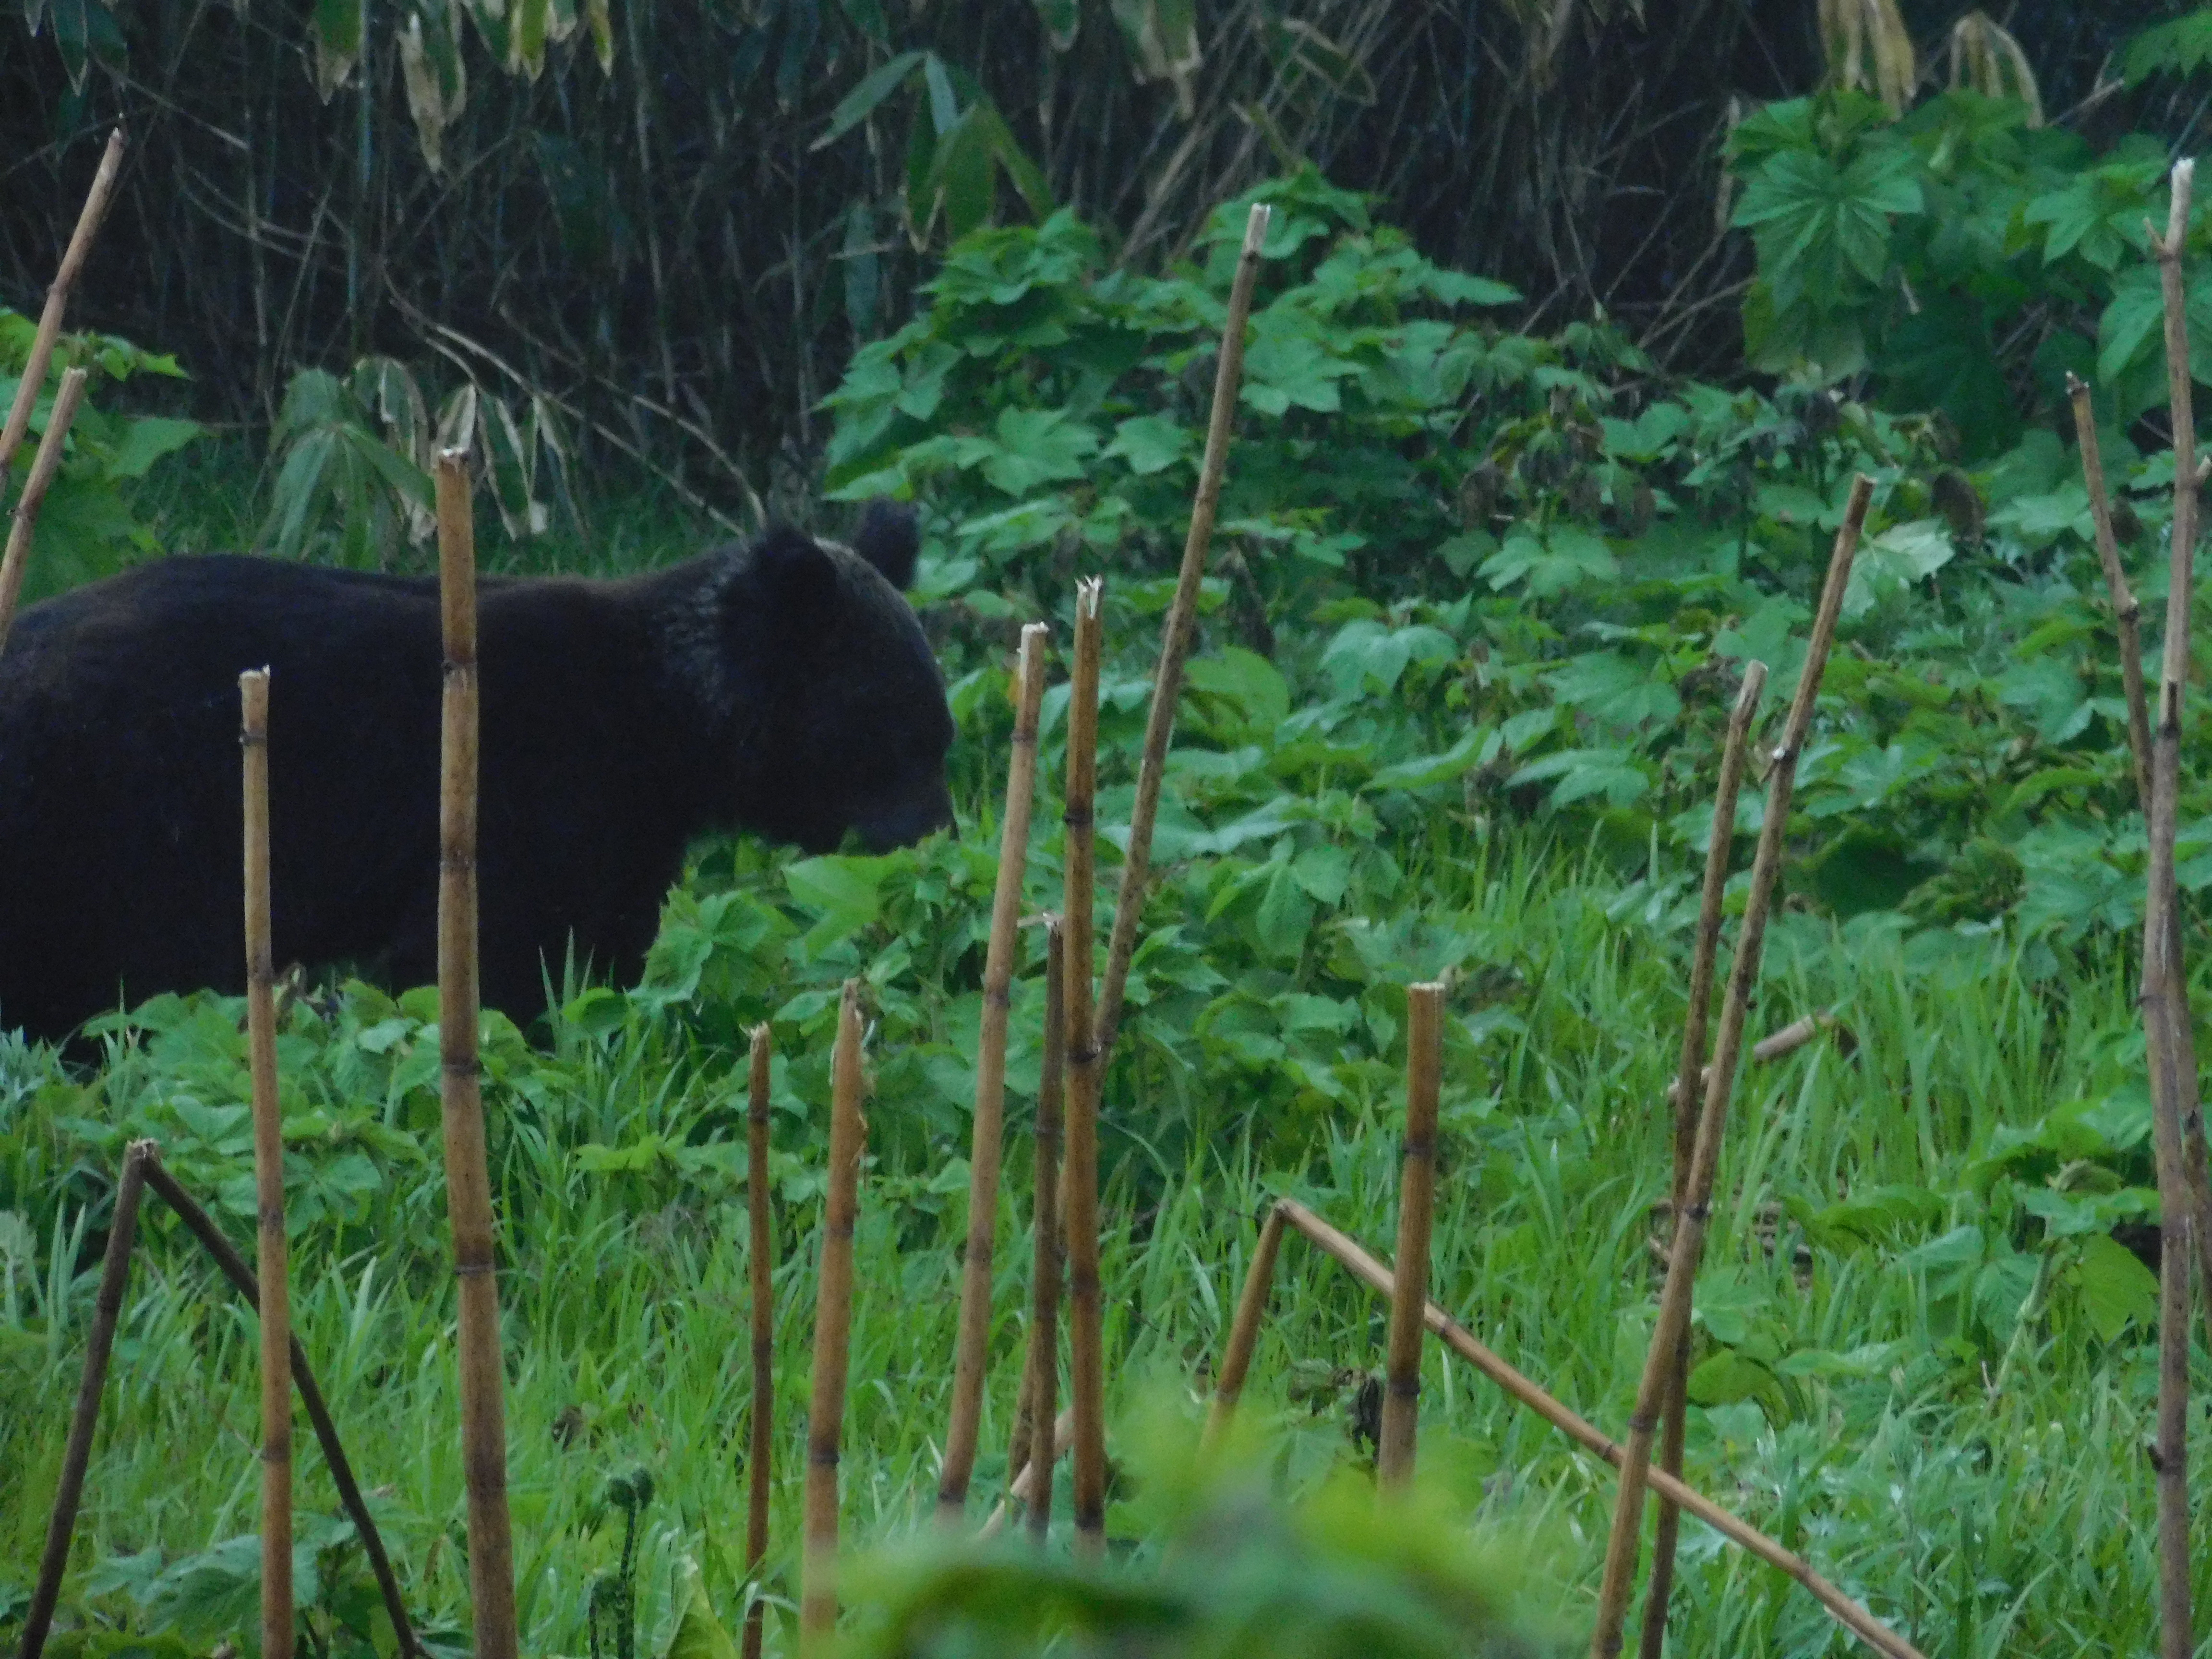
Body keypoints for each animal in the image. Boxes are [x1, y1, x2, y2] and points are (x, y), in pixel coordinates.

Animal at [0, 500, 947, 1044]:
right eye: (895, 732)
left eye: (941, 733)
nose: (933, 832)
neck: (671, 729)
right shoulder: (525, 787)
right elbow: (478, 954)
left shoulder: (628, 832)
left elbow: (606, 949)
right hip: (116, 825)